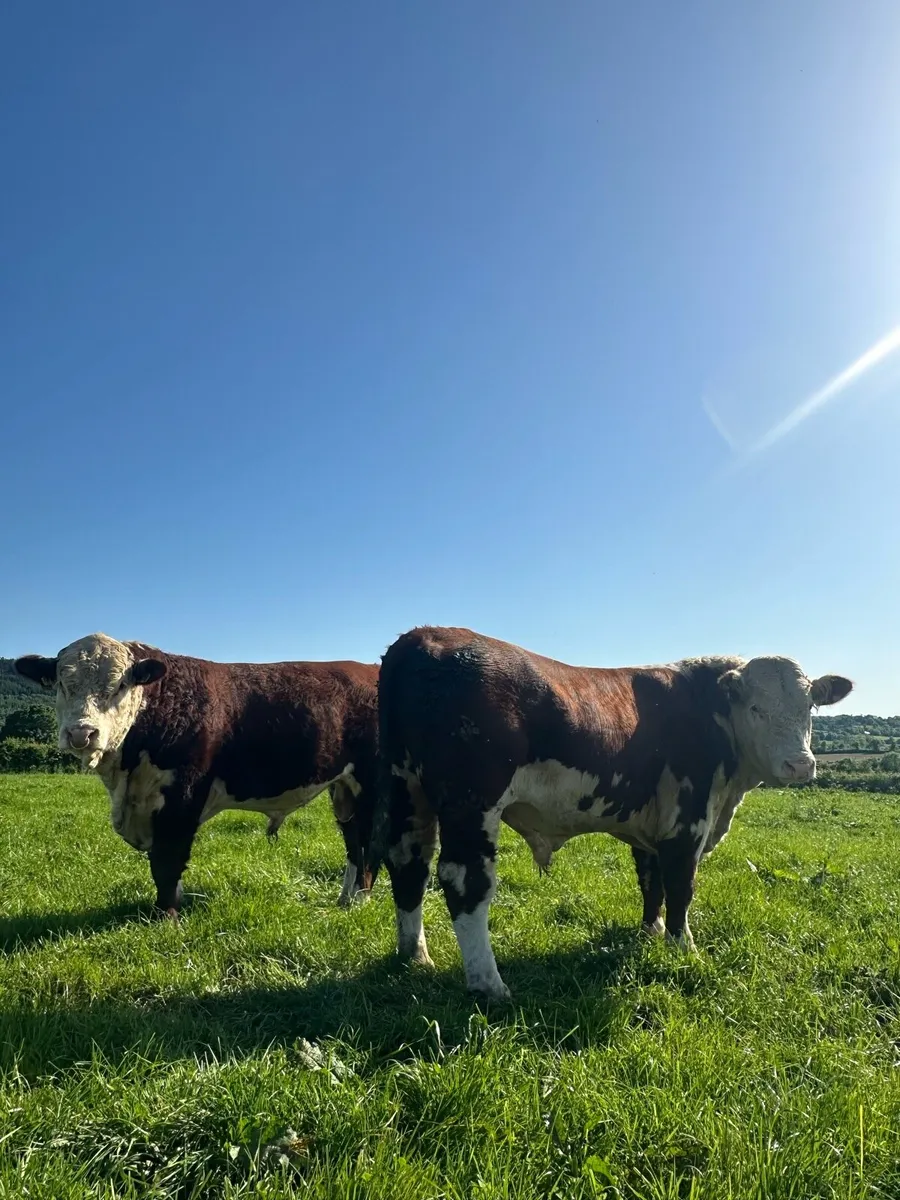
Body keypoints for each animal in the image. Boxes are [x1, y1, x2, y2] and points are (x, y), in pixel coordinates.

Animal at [15, 633, 380, 916]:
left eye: (119, 685)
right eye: (63, 684)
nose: (82, 733)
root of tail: (370, 668)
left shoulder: (182, 797)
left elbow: (166, 860)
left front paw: (166, 917)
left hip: (370, 782)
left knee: (368, 841)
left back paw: (360, 901)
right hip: (343, 787)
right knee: (353, 841)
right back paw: (345, 899)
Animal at [377, 626, 854, 1000]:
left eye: (809, 708)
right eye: (757, 708)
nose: (800, 765)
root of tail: (422, 637)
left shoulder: (652, 823)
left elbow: (651, 880)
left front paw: (651, 932)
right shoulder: (688, 817)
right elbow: (681, 885)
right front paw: (683, 947)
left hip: (406, 792)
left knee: (408, 865)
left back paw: (414, 955)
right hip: (472, 802)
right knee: (464, 880)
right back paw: (489, 984)